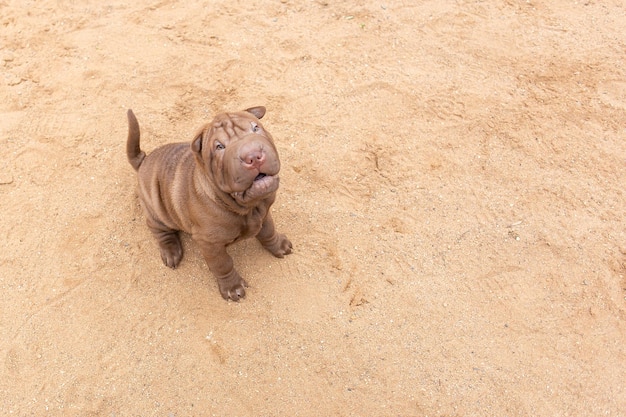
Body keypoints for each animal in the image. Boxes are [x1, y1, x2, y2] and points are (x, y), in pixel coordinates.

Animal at [128, 106, 294, 300]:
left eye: (255, 128)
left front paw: (279, 245)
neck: (248, 207)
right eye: (219, 146)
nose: (253, 156)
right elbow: (223, 264)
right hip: (156, 209)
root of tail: (143, 160)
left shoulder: (264, 214)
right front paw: (232, 287)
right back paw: (171, 251)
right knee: (159, 229)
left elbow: (268, 232)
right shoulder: (209, 242)